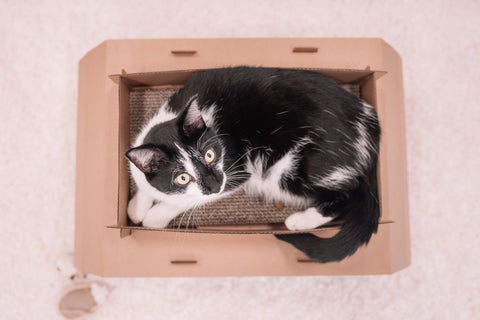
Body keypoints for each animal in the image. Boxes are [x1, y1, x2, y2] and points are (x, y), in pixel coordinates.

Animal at [125, 65, 380, 262]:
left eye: (210, 155)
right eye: (182, 177)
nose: (214, 184)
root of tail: (369, 129)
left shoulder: (236, 170)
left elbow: (186, 201)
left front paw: (155, 216)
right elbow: (143, 185)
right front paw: (136, 208)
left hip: (290, 169)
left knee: (346, 196)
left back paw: (300, 220)